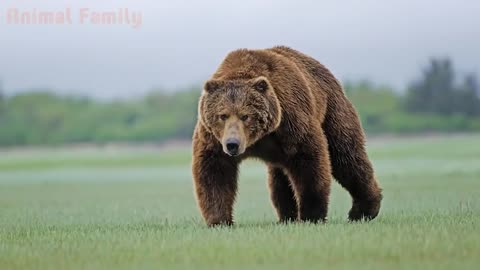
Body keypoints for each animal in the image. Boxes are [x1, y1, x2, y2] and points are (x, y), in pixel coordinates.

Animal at [191, 46, 382, 226]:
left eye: (245, 116)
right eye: (222, 115)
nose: (232, 144)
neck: (259, 139)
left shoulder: (291, 122)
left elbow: (309, 163)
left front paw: (311, 216)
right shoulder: (213, 139)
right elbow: (215, 172)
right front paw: (219, 220)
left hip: (332, 110)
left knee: (346, 156)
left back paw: (364, 210)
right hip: (280, 153)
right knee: (280, 179)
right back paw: (287, 217)